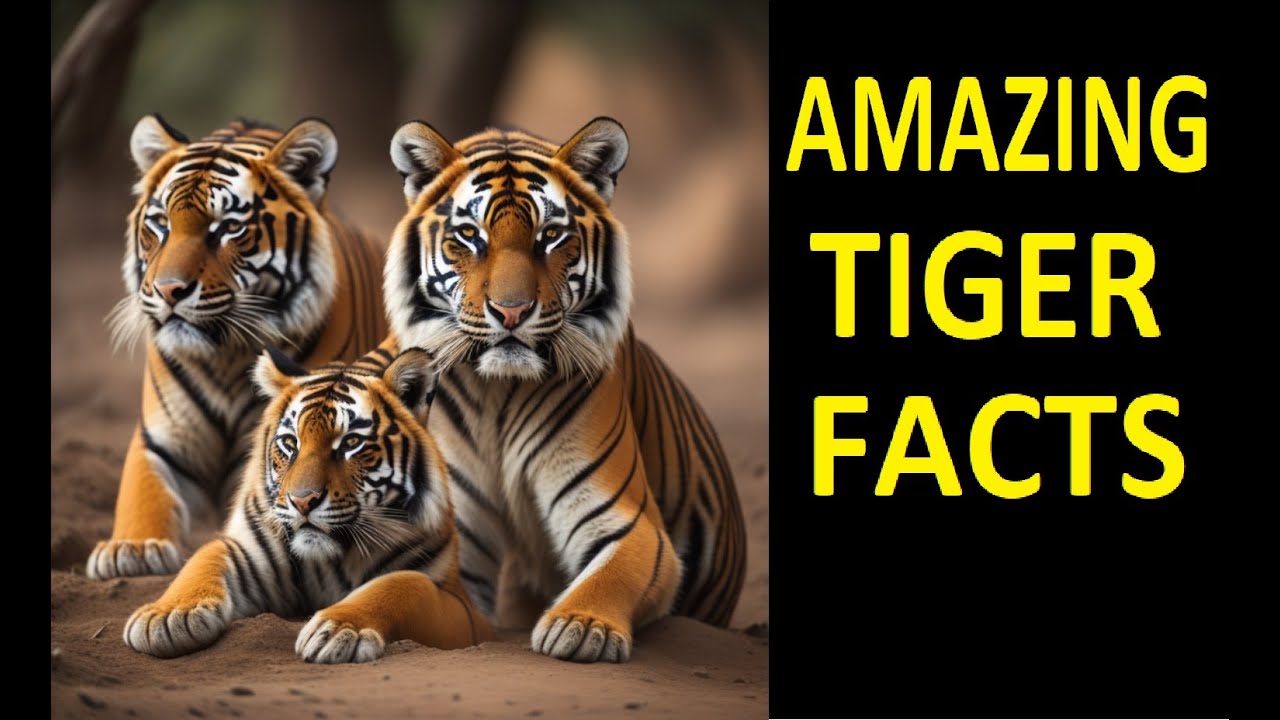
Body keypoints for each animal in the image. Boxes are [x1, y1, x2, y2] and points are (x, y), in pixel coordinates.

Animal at [87, 116, 388, 580]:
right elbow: (140, 490)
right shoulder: (159, 443)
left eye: (229, 227)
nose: (168, 290)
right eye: (160, 223)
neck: (225, 357)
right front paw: (130, 548)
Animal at [123, 342, 492, 662]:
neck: (334, 558)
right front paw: (168, 616)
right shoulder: (249, 551)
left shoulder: (460, 605)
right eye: (290, 443)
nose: (302, 501)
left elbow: (403, 584)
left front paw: (338, 629)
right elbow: (204, 558)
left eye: (352, 443)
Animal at [383, 116, 747, 663]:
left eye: (551, 236)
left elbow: (610, 576)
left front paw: (581, 625)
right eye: (469, 235)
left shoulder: (628, 523)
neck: (499, 393)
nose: (511, 312)